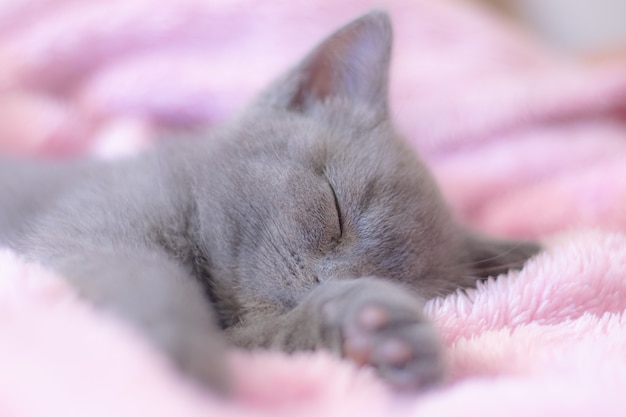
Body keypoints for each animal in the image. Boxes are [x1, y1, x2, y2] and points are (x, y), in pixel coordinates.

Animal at [0, 10, 536, 394]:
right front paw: (176, 369)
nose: (330, 281)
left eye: (405, 286)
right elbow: (149, 281)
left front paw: (381, 332)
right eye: (335, 208)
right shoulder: (93, 233)